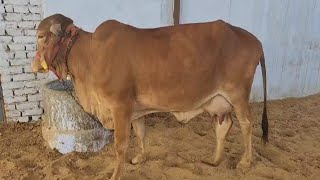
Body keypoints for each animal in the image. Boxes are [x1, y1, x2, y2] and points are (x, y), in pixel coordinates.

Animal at [31, 13, 268, 179]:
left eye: (41, 36)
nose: (34, 65)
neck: (91, 54)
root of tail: (255, 40)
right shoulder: (136, 109)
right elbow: (141, 132)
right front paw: (140, 158)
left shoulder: (120, 106)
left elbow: (121, 145)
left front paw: (116, 175)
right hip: (218, 101)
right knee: (224, 125)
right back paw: (215, 160)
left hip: (238, 94)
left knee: (246, 124)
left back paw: (245, 162)